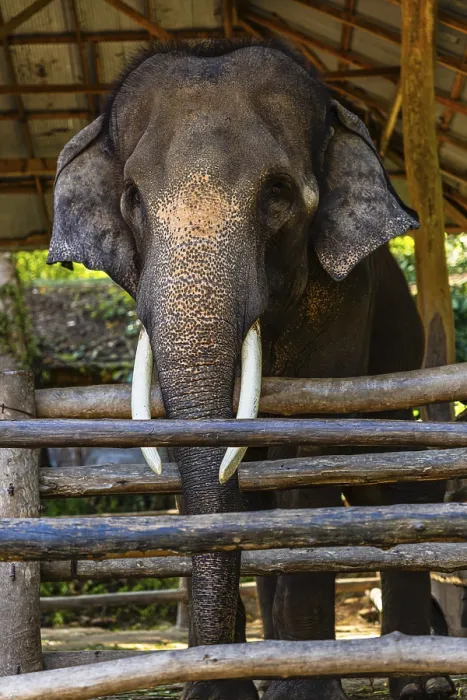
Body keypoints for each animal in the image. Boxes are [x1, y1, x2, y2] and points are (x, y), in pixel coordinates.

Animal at [48, 39, 454, 700]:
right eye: (132, 198)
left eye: (279, 193)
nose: (209, 684)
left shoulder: (347, 302)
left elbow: (306, 457)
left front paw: (303, 692)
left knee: (398, 487)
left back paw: (423, 683)